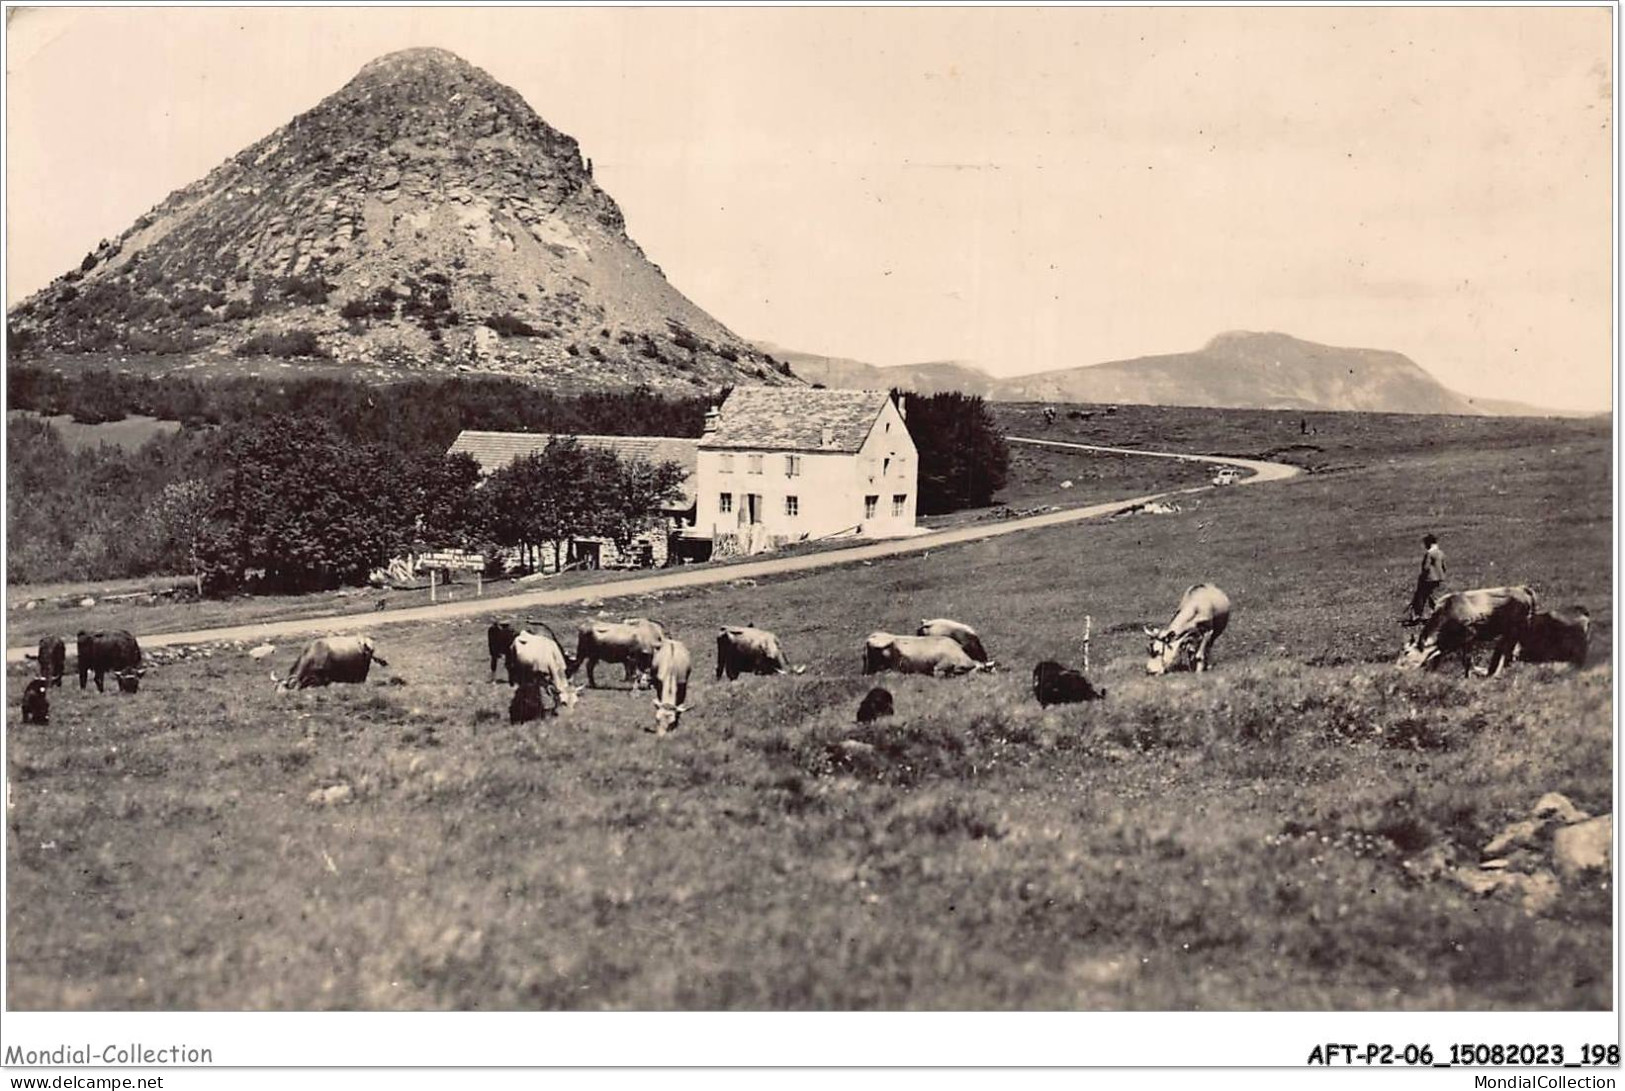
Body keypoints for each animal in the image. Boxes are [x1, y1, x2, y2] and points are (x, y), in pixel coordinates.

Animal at [1397, 585, 1534, 679]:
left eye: (1407, 652)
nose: (1397, 670)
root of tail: (1521, 588)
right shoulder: (1448, 643)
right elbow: (1437, 659)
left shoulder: (1469, 636)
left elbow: (1466, 660)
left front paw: (1468, 676)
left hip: (1516, 627)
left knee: (1507, 650)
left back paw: (1496, 673)